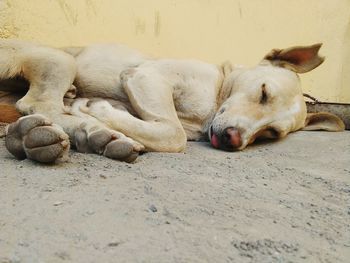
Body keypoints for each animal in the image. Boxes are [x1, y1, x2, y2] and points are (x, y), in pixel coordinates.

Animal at [0, 39, 344, 163]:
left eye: (271, 133)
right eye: (263, 93)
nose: (233, 140)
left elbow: (166, 128)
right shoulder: (147, 76)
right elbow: (173, 134)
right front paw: (98, 110)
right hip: (61, 61)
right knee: (39, 105)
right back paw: (91, 130)